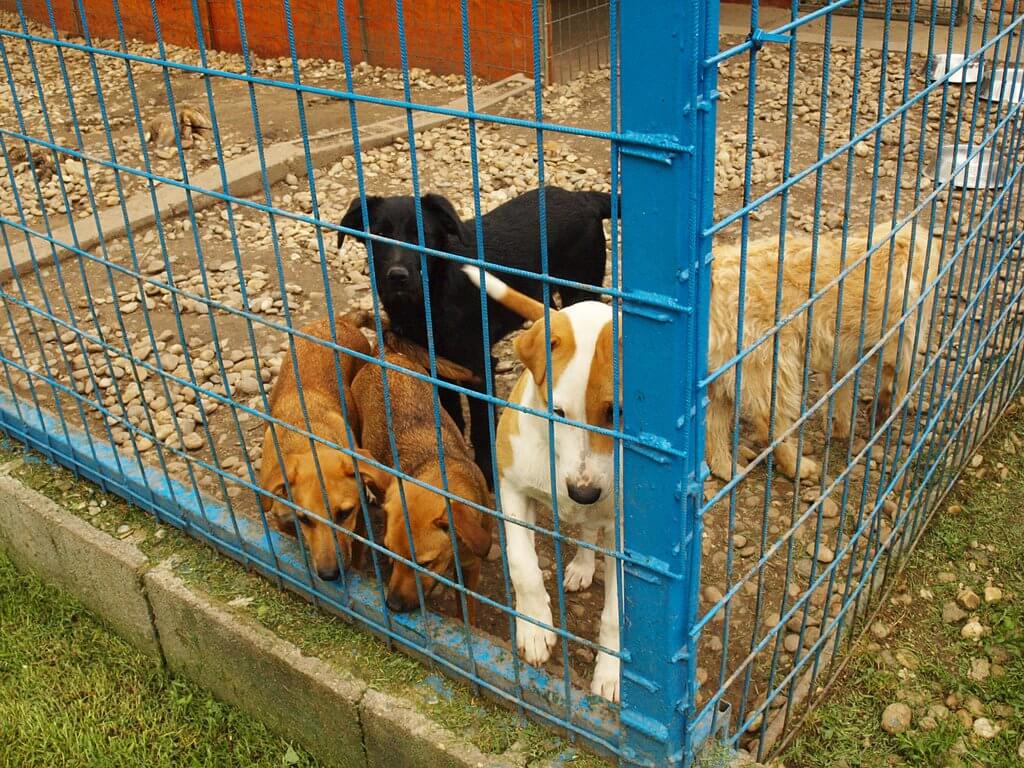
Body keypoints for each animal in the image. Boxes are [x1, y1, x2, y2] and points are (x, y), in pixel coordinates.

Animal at [259, 315, 391, 581]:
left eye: (344, 514)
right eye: (304, 518)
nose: (329, 575)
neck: (308, 438)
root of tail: (341, 320)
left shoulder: (358, 521)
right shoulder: (282, 514)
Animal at [338, 186, 615, 487]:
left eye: (422, 235)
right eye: (377, 233)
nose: (397, 276)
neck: (430, 298)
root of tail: (581, 197)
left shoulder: (478, 369)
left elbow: (482, 429)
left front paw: (488, 473)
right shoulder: (436, 365)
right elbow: (452, 415)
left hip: (580, 289)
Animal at [350, 335, 492, 625]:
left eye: (425, 564)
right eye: (389, 552)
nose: (392, 605)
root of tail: (387, 352)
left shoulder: (471, 568)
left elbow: (467, 612)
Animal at [462, 264, 623, 702]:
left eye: (616, 412)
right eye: (558, 411)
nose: (582, 492)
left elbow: (617, 614)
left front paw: (612, 674)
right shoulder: (511, 488)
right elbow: (523, 565)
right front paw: (534, 629)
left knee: (590, 529)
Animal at [705, 223, 936, 481]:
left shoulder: (843, 359)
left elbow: (841, 393)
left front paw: (841, 428)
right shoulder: (901, 343)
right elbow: (898, 381)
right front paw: (884, 412)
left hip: (724, 375)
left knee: (713, 423)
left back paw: (726, 467)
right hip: (771, 368)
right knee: (770, 423)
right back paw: (796, 467)